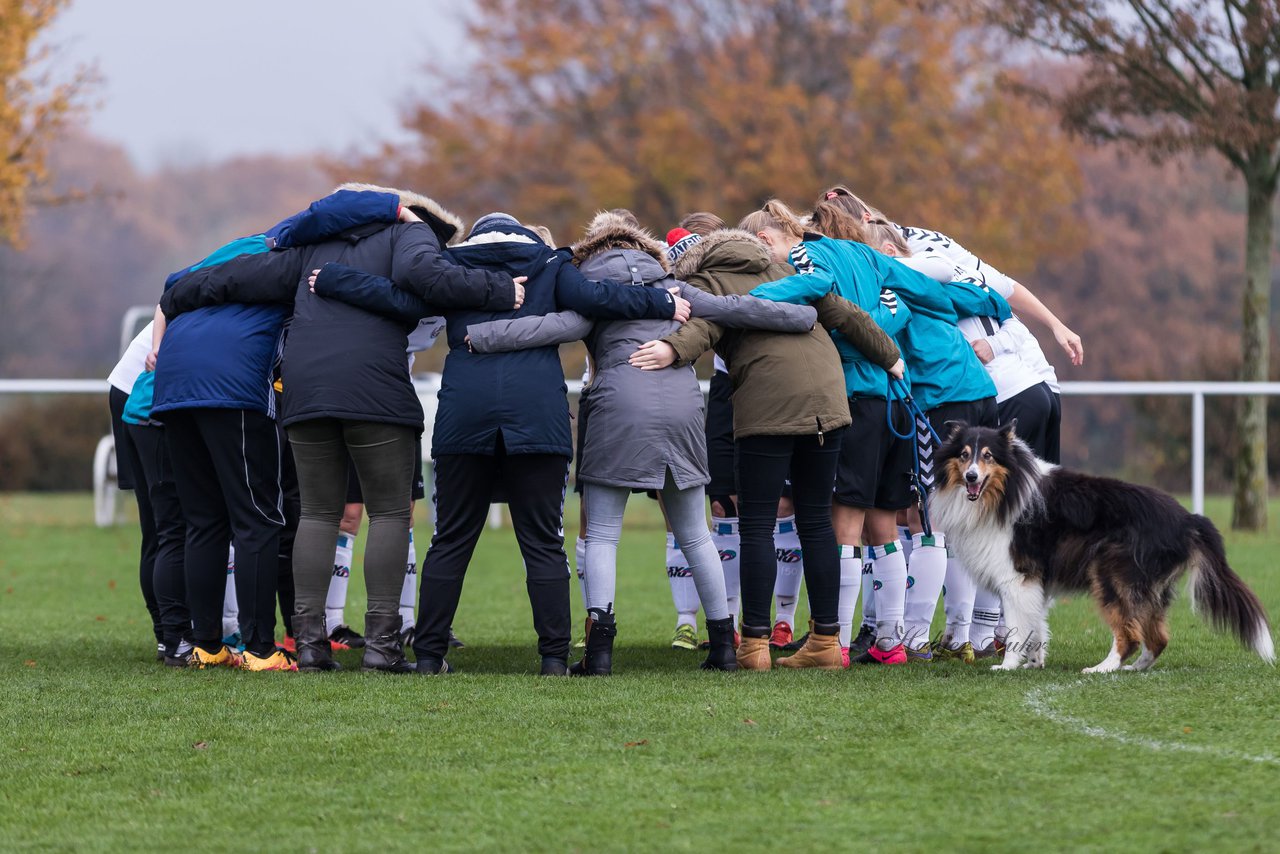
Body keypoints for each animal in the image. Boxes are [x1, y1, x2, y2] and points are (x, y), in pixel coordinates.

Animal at [926, 419, 1274, 676]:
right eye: (963, 455)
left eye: (987, 455)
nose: (971, 477)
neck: (1006, 488)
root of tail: (1189, 519)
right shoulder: (1035, 583)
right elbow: (1036, 625)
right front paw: (1034, 662)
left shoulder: (1018, 577)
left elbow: (1017, 626)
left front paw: (1008, 665)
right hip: (1148, 587)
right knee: (1157, 637)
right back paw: (1135, 668)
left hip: (1110, 573)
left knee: (1130, 635)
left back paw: (1103, 668)